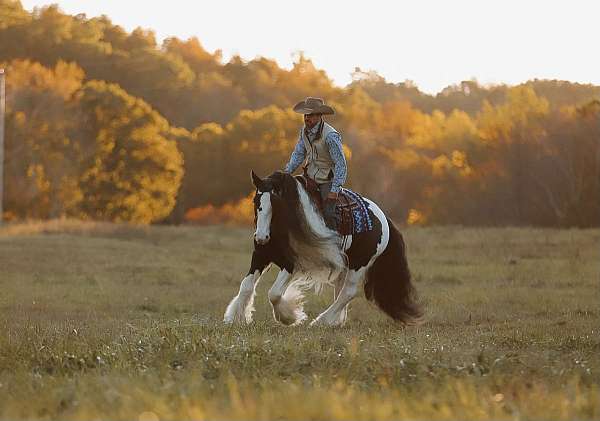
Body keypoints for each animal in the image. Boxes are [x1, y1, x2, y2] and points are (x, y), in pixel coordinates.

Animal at [224, 170, 422, 324]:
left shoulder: (291, 263)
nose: (261, 237)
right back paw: (335, 321)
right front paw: (234, 319)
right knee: (340, 290)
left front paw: (289, 317)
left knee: (348, 292)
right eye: (256, 202)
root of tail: (383, 218)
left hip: (360, 263)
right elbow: (246, 286)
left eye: (277, 203)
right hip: (345, 263)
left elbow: (274, 293)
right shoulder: (260, 256)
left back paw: (322, 321)